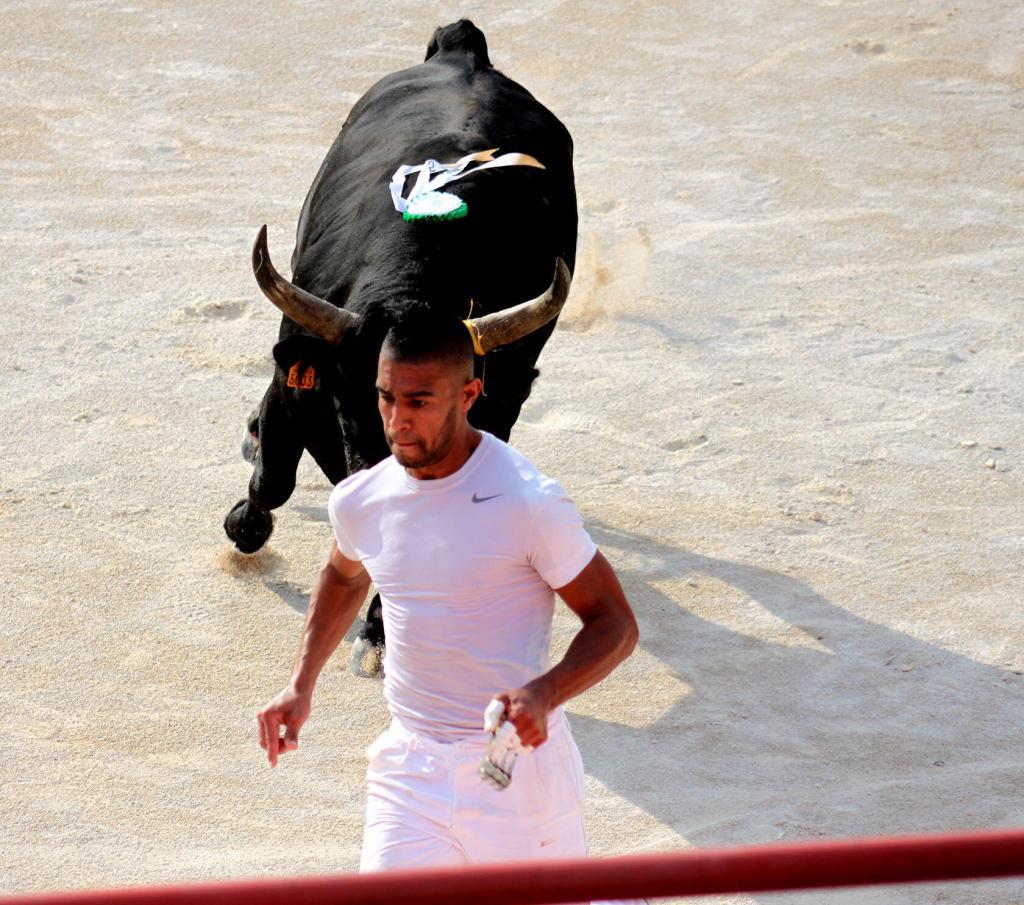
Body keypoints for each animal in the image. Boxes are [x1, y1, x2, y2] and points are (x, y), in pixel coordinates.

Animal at [224, 19, 577, 663]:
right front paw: (244, 524)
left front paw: (379, 629)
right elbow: (274, 478)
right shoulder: (297, 375)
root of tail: (464, 49)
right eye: (351, 405)